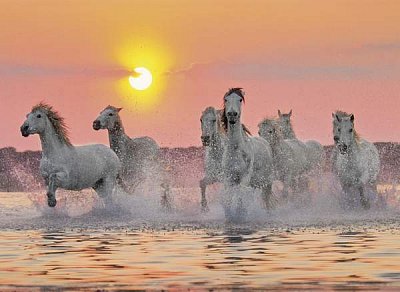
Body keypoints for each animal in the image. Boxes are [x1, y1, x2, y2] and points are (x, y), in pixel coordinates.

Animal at [220, 88, 274, 218]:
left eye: (240, 99)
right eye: (226, 99)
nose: (232, 114)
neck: (235, 151)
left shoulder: (245, 177)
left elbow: (240, 196)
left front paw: (239, 215)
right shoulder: (229, 178)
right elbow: (228, 199)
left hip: (267, 182)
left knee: (266, 199)